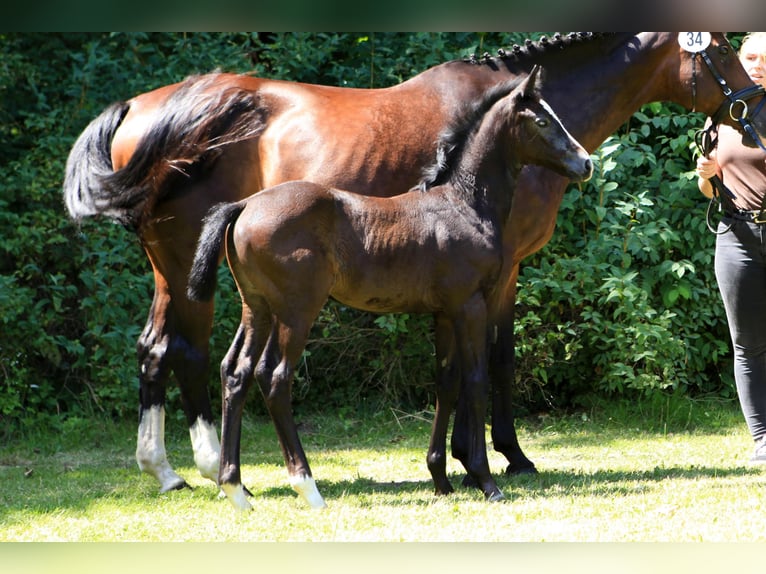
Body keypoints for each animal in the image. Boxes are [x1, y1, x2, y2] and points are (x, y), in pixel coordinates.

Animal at [188, 65, 592, 510]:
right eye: (542, 121)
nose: (586, 162)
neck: (464, 204)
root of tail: (244, 205)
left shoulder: (444, 312)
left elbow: (446, 381)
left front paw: (441, 478)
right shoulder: (470, 305)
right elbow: (475, 380)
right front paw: (485, 480)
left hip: (257, 306)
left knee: (236, 371)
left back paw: (234, 487)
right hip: (298, 310)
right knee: (275, 377)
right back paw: (307, 486)